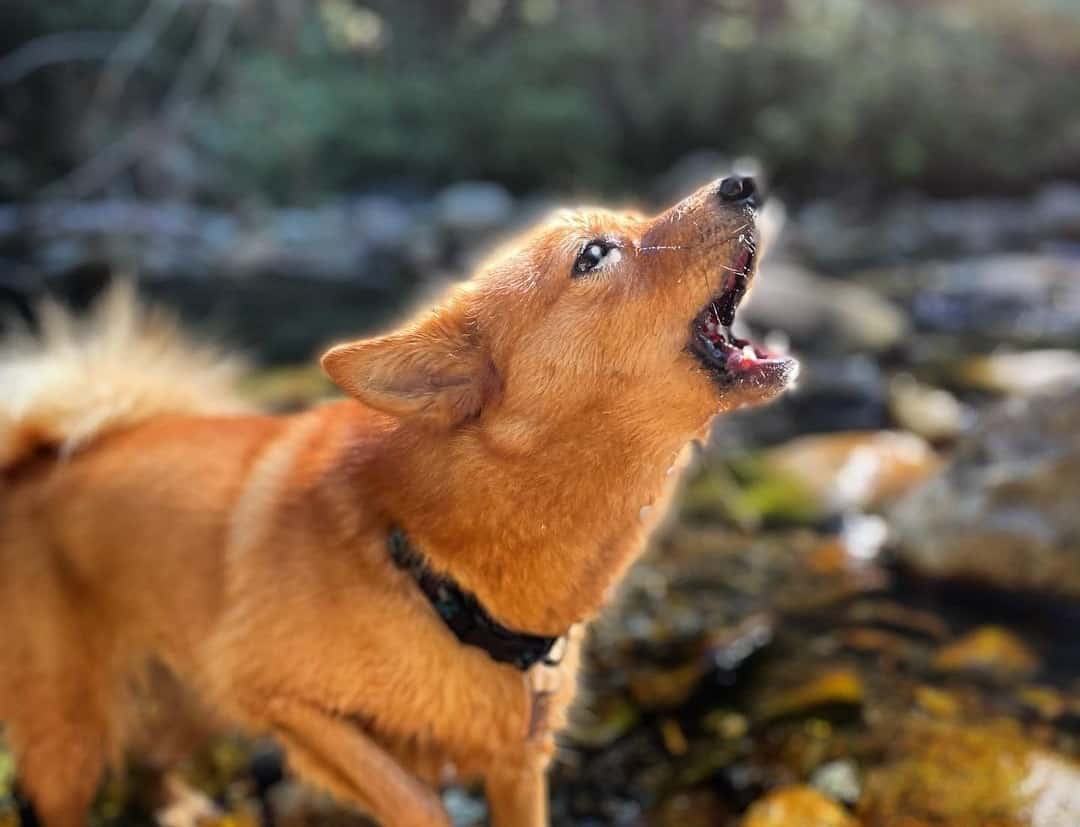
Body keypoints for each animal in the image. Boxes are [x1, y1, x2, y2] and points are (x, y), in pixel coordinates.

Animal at [0, 177, 794, 827]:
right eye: (594, 254)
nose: (744, 182)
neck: (434, 568)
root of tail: (32, 467)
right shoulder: (277, 697)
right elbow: (414, 798)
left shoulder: (518, 766)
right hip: (72, 737)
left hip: (186, 699)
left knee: (153, 761)